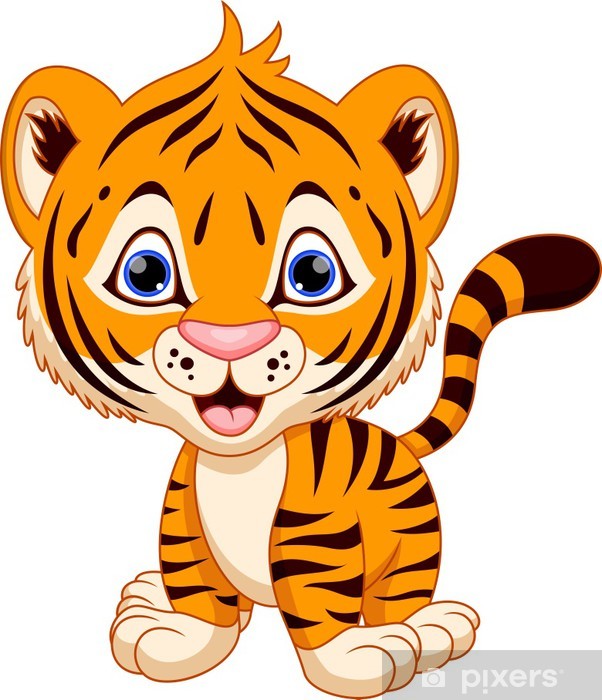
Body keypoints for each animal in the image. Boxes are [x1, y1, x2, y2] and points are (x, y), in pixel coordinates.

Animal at [1, 4, 600, 697]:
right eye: (146, 274)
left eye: (312, 274)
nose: (229, 341)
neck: (238, 467)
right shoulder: (184, 515)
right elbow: (197, 589)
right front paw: (183, 637)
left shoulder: (317, 532)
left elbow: (317, 601)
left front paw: (355, 661)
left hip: (410, 532)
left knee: (400, 592)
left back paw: (425, 630)